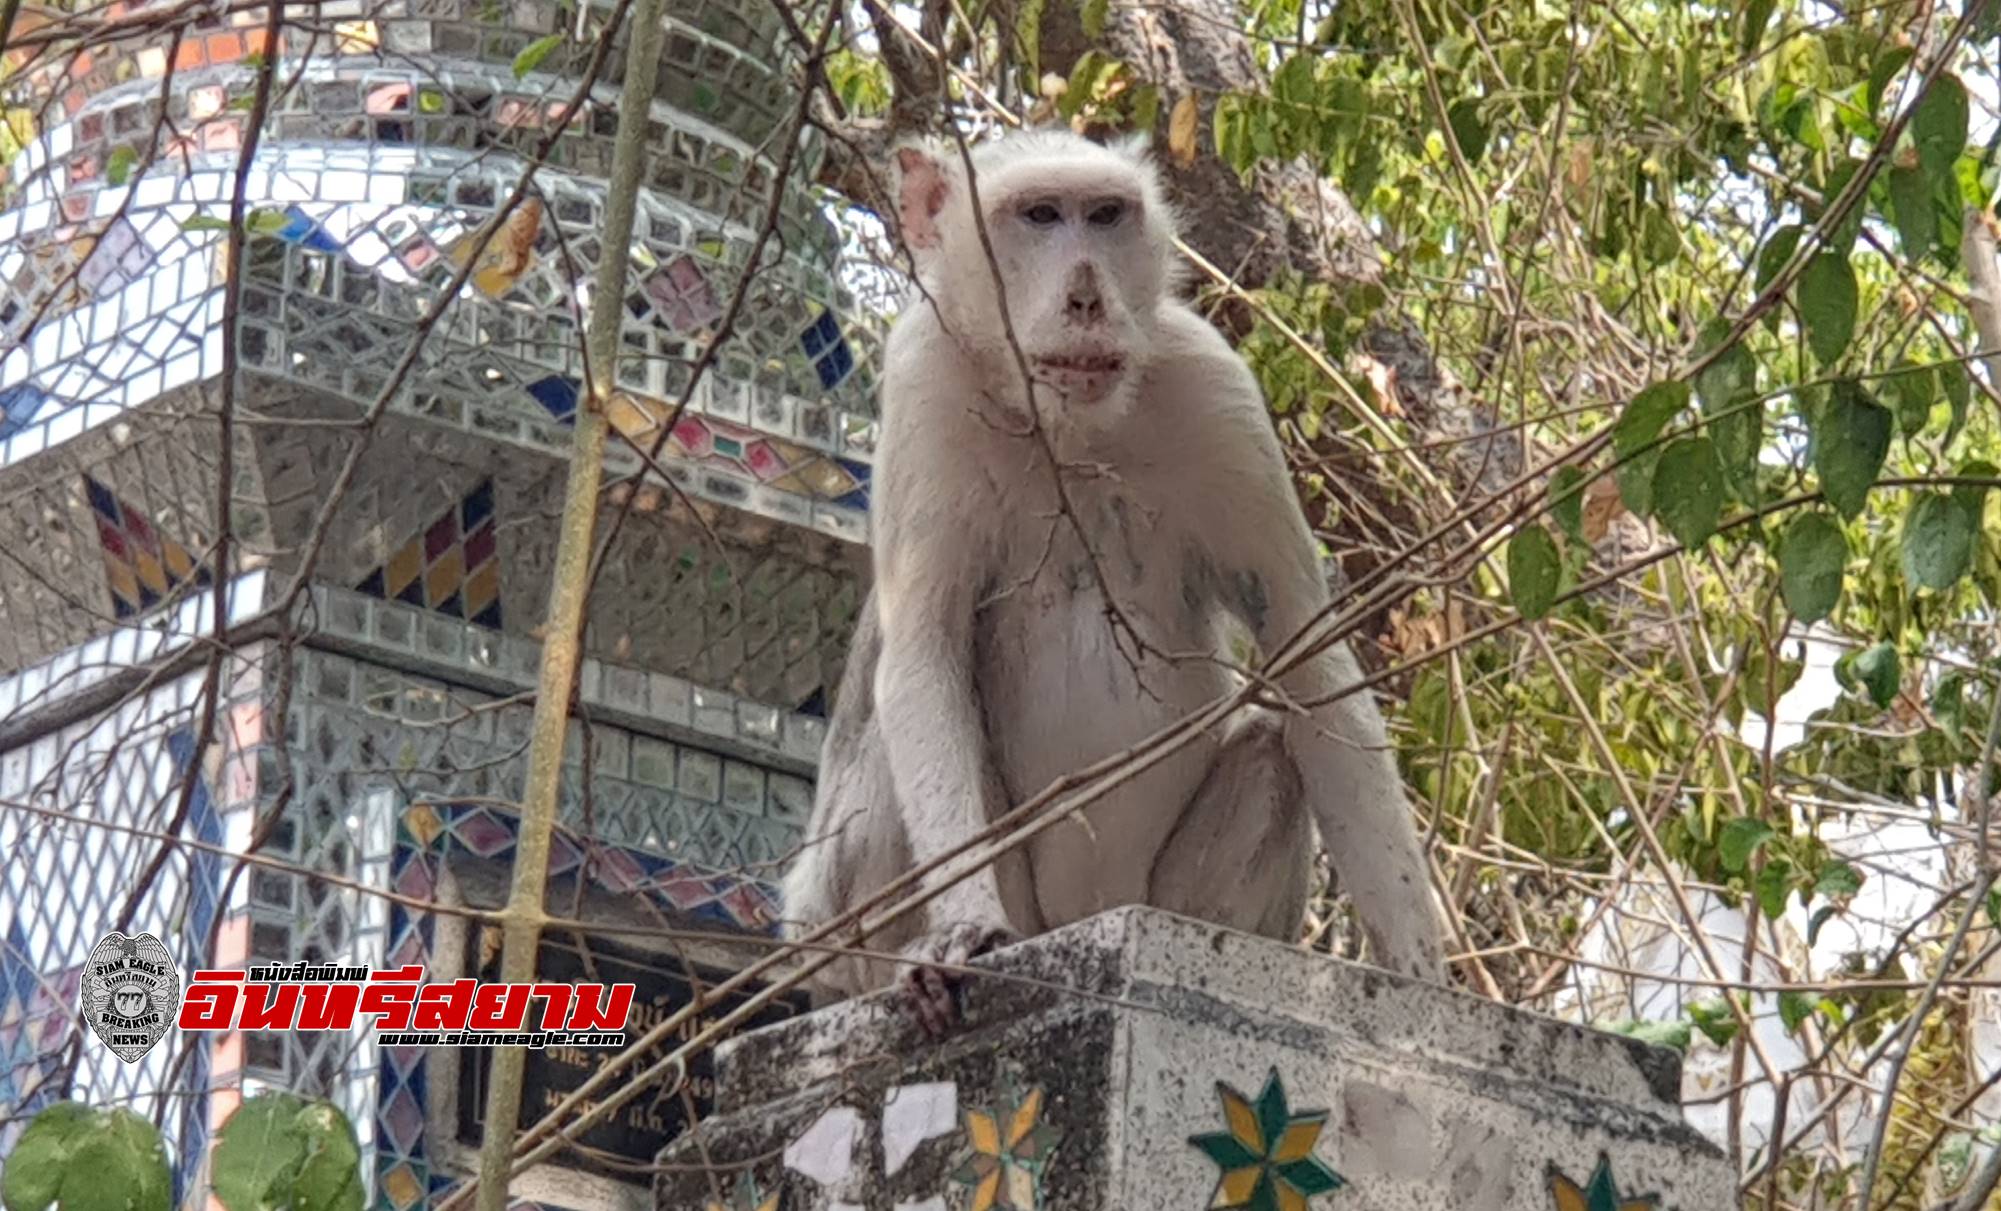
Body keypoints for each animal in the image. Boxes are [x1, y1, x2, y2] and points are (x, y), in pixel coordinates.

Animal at [772, 127, 1448, 1032]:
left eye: (1102, 216)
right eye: (1038, 217)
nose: (1087, 297)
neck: (1066, 427)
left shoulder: (1216, 385)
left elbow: (1308, 660)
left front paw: (1421, 975)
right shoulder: (923, 381)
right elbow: (922, 658)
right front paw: (960, 928)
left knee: (1270, 747)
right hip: (854, 924)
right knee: (895, 726)